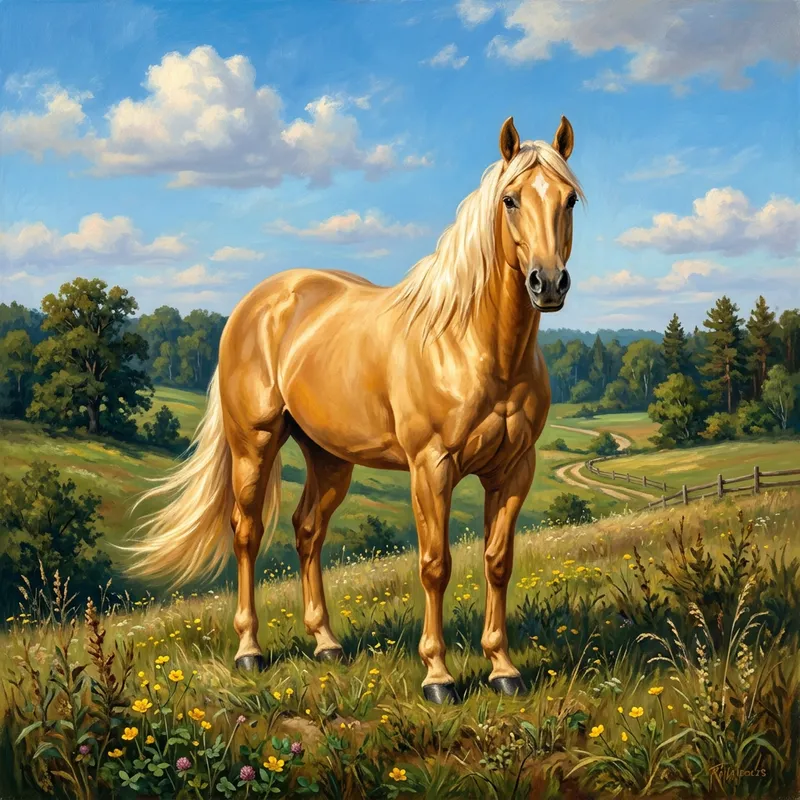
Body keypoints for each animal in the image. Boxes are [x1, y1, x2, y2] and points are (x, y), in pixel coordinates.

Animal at [129, 116, 584, 703]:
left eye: (569, 199)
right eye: (510, 199)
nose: (547, 283)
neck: (471, 342)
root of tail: (257, 303)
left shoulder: (513, 470)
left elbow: (498, 563)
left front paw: (503, 668)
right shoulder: (431, 468)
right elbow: (435, 565)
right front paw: (438, 676)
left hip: (329, 458)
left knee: (306, 531)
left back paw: (326, 643)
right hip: (253, 444)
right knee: (247, 533)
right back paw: (250, 650)